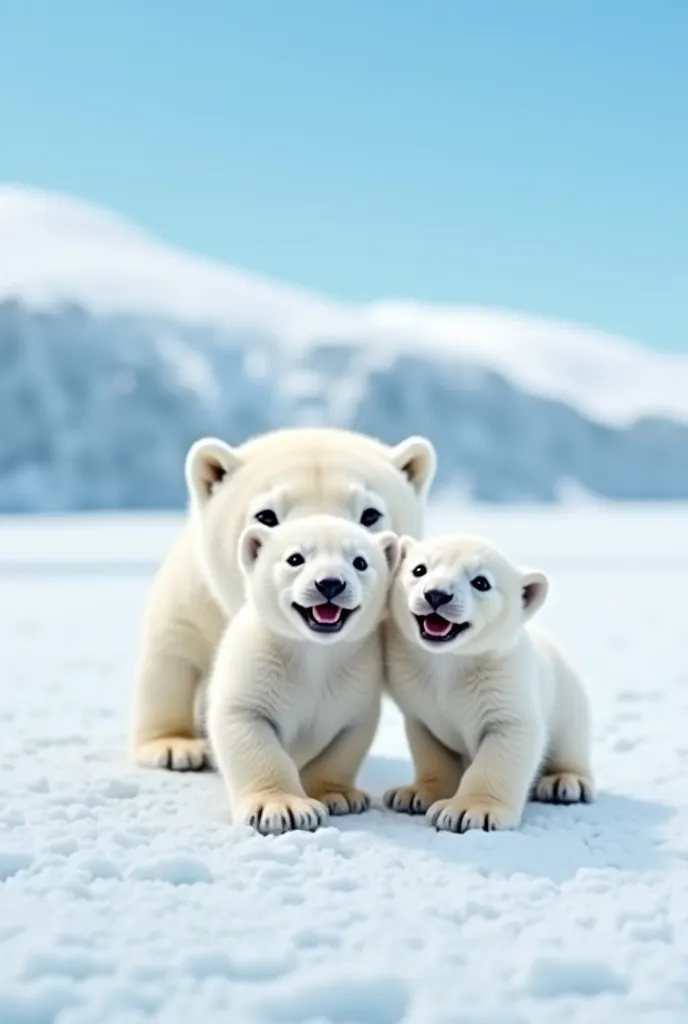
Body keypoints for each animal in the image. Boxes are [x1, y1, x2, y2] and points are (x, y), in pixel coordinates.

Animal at [205, 512, 397, 831]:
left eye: (360, 562)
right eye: (295, 558)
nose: (330, 584)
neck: (314, 653)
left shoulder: (357, 681)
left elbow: (345, 744)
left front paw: (338, 796)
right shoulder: (255, 669)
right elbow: (250, 733)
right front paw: (280, 808)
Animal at [384, 536, 593, 831]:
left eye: (481, 582)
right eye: (419, 569)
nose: (436, 595)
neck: (448, 663)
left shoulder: (504, 680)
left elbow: (506, 743)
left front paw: (467, 811)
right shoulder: (417, 696)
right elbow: (432, 748)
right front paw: (415, 794)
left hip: (567, 698)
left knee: (570, 740)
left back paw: (564, 782)